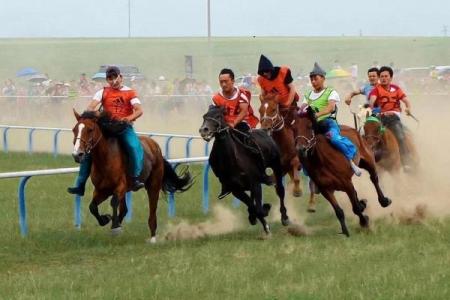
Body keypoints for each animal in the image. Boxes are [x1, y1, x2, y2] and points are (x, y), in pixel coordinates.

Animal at [71, 111, 191, 243]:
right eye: (74, 129)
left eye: (90, 129)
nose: (77, 154)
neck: (106, 159)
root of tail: (155, 146)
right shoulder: (101, 190)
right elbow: (92, 207)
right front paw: (106, 219)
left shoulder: (120, 186)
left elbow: (113, 202)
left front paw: (115, 226)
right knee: (124, 209)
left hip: (153, 185)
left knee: (152, 211)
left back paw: (153, 238)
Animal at [199, 105, 290, 234]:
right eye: (204, 116)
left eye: (218, 116)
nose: (204, 130)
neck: (232, 160)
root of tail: (264, 131)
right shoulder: (236, 190)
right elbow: (252, 206)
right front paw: (256, 218)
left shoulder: (255, 183)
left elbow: (259, 209)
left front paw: (266, 212)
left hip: (276, 165)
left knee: (280, 191)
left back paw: (284, 217)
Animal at [294, 106, 392, 237]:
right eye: (294, 128)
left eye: (309, 126)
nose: (300, 149)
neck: (321, 161)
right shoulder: (325, 189)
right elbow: (338, 211)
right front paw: (345, 231)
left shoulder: (346, 183)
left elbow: (355, 207)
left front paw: (364, 222)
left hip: (368, 160)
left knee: (374, 179)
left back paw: (384, 201)